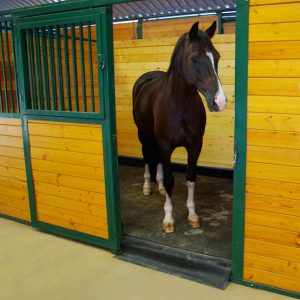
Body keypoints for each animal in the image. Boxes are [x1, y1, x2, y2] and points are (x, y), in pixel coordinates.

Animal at [132, 21, 226, 233]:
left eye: (216, 57)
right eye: (194, 59)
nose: (220, 101)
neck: (180, 104)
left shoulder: (195, 146)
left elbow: (190, 178)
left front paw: (192, 216)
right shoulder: (166, 145)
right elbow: (170, 180)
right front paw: (168, 219)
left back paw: (158, 188)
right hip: (144, 135)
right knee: (146, 156)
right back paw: (147, 186)